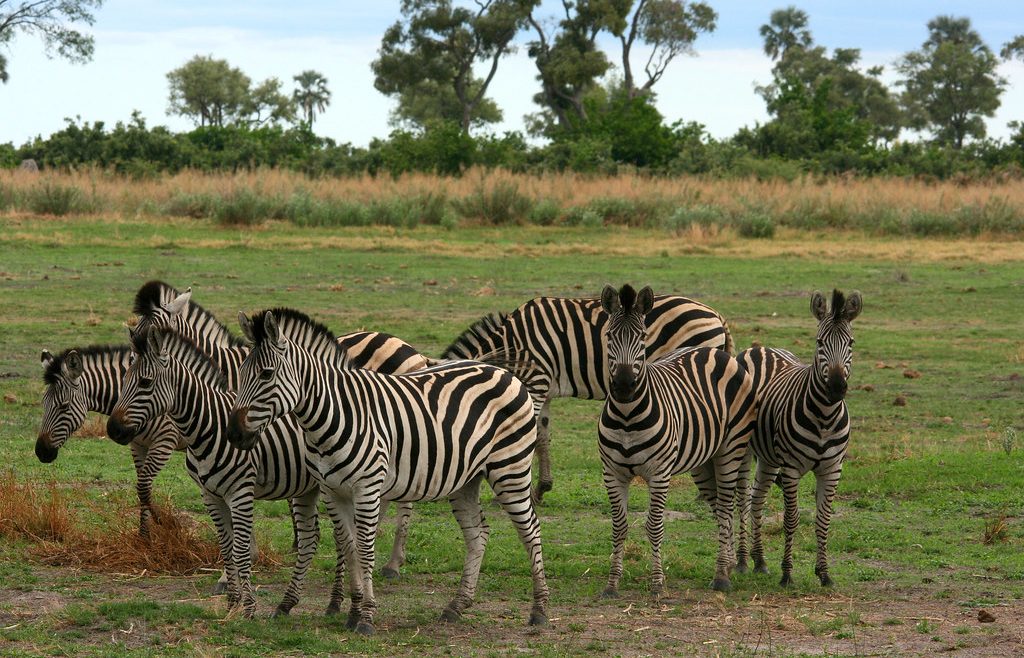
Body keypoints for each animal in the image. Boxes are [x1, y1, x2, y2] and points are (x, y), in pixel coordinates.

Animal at [106, 325, 347, 618]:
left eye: (145, 382)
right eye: (124, 378)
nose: (113, 430)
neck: (208, 427)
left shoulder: (240, 492)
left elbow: (241, 550)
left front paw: (249, 609)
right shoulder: (210, 494)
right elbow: (226, 547)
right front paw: (232, 601)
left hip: (331, 486)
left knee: (341, 538)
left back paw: (334, 602)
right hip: (306, 488)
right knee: (310, 539)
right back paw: (287, 604)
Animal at [225, 308, 549, 635]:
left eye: (266, 374)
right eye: (241, 373)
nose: (234, 435)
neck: (334, 413)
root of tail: (501, 371)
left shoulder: (367, 488)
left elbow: (365, 549)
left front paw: (366, 617)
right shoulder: (332, 491)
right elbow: (349, 547)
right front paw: (353, 611)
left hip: (510, 468)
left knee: (531, 529)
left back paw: (539, 611)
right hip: (466, 480)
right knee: (477, 533)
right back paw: (456, 606)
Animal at [443, 291, 733, 502]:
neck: (511, 345)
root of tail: (716, 314)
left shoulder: (536, 381)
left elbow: (529, 436)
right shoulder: (543, 389)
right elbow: (542, 436)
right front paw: (541, 489)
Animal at [598, 284, 757, 595]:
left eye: (642, 337)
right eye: (609, 336)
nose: (623, 386)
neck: (626, 416)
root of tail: (717, 352)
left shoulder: (659, 473)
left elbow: (654, 526)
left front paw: (658, 583)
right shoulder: (612, 473)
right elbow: (619, 526)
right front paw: (612, 583)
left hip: (731, 448)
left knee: (727, 505)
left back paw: (721, 575)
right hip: (703, 462)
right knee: (718, 508)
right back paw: (729, 563)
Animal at [735, 289, 862, 588]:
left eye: (851, 342)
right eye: (819, 342)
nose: (836, 388)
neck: (825, 417)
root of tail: (759, 348)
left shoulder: (832, 469)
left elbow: (823, 520)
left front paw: (824, 573)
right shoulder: (791, 468)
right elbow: (791, 519)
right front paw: (787, 573)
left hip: (769, 457)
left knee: (756, 499)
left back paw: (759, 560)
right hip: (744, 449)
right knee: (742, 499)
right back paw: (743, 560)